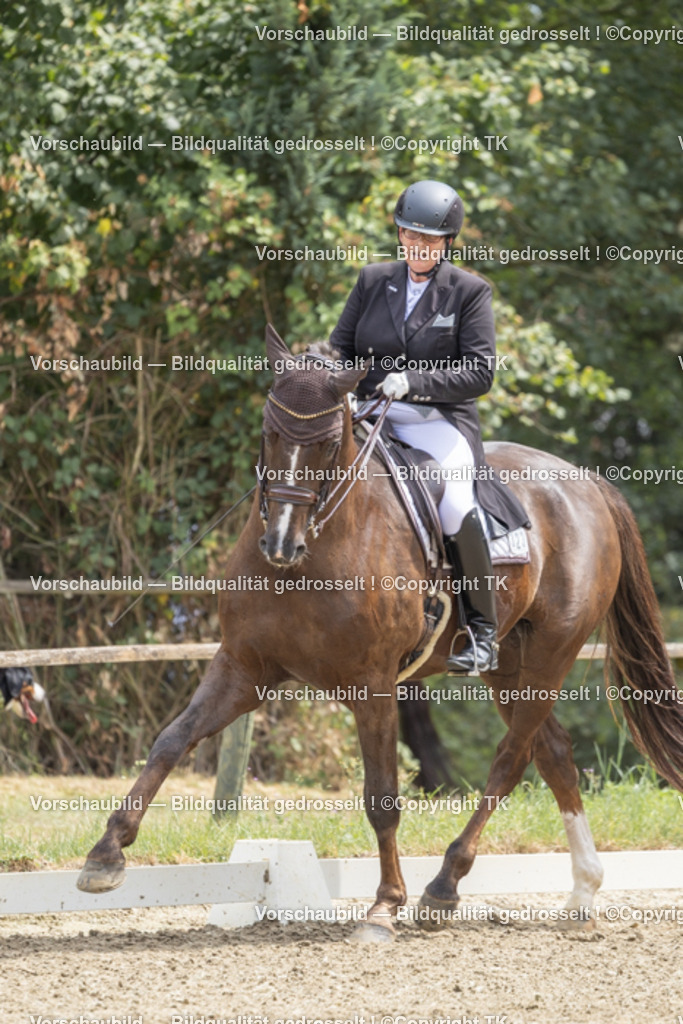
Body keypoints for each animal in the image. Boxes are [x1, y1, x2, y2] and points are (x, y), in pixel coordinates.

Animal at [77, 324, 683, 941]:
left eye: (327, 443)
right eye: (270, 433)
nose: (280, 544)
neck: (314, 552)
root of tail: (588, 483)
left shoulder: (374, 685)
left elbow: (382, 797)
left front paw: (385, 907)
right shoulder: (244, 668)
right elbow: (171, 740)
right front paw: (105, 856)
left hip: (551, 653)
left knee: (512, 758)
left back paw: (444, 887)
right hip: (507, 664)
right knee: (554, 752)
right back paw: (581, 893)